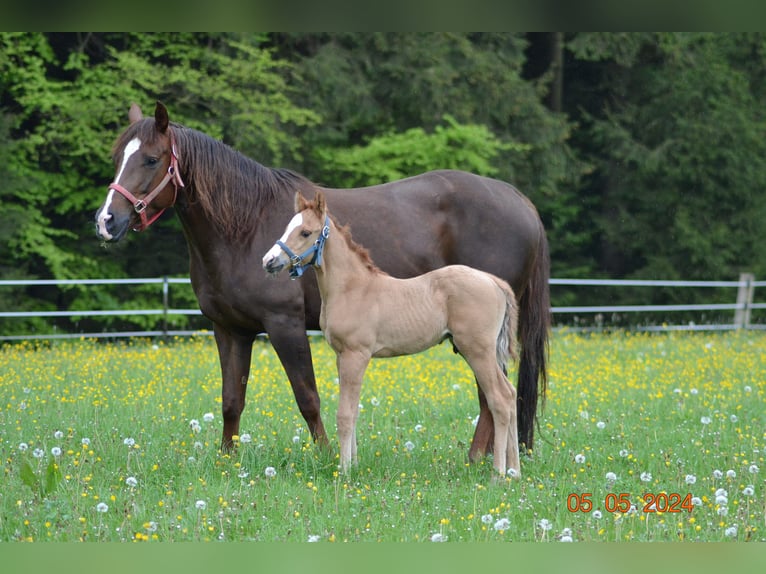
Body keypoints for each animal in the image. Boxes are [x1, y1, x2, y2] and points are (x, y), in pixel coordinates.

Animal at [262, 191, 520, 480]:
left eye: (306, 232)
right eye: (287, 227)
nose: (268, 261)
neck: (352, 288)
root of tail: (493, 281)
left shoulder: (355, 355)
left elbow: (344, 415)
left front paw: (344, 471)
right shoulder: (342, 356)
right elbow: (354, 411)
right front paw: (354, 465)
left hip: (477, 350)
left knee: (500, 399)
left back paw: (498, 474)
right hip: (485, 352)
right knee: (511, 395)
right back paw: (515, 471)